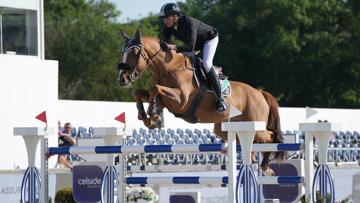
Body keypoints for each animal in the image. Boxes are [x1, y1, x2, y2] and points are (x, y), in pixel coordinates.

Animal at [117, 29, 284, 174]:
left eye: (134, 52)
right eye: (122, 52)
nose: (122, 79)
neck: (170, 68)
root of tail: (260, 93)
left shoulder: (181, 100)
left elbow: (155, 89)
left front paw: (152, 114)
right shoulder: (166, 100)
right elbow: (140, 92)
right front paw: (146, 117)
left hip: (255, 126)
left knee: (271, 137)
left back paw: (265, 166)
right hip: (224, 127)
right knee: (241, 140)